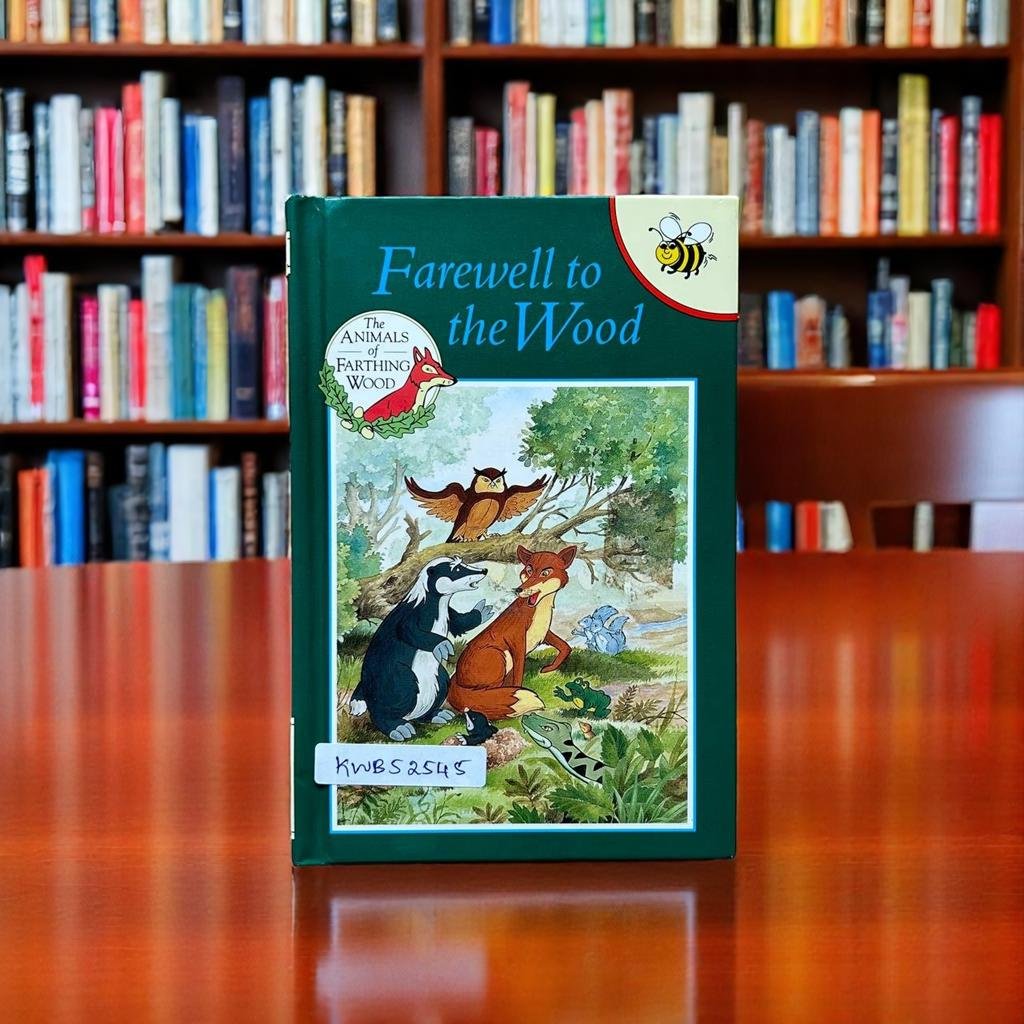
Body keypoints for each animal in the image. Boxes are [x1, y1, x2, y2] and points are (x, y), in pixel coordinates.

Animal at [447, 545, 576, 721]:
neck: (539, 610)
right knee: (482, 696)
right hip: (498, 656)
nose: (519, 590)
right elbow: (519, 674)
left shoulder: (543, 634)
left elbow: (565, 647)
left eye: (545, 573)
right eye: (529, 570)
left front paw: (549, 669)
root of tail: (455, 679)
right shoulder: (517, 641)